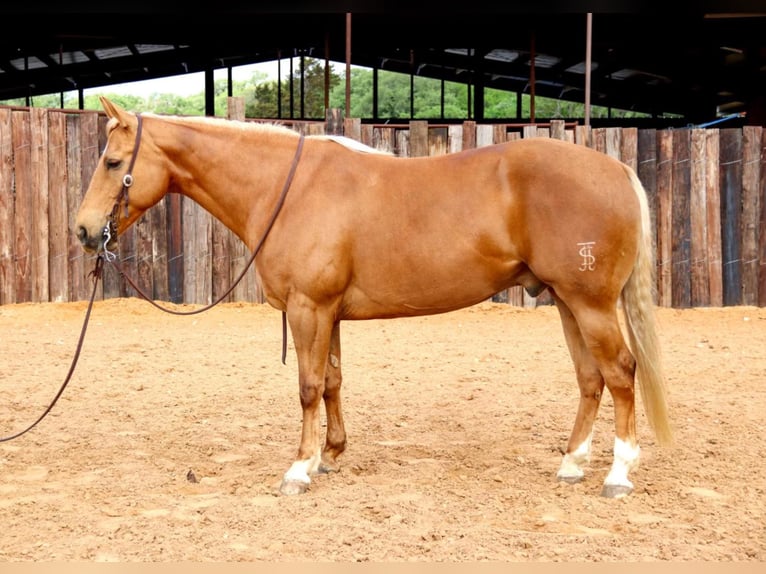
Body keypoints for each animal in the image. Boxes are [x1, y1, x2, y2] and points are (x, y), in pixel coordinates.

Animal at [75, 98, 672, 500]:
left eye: (112, 162)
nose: (83, 230)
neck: (288, 187)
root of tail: (616, 169)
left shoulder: (308, 308)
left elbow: (308, 387)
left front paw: (298, 469)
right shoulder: (328, 312)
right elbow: (332, 381)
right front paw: (330, 455)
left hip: (591, 304)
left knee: (620, 373)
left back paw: (618, 473)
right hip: (569, 303)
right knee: (591, 379)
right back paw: (572, 463)